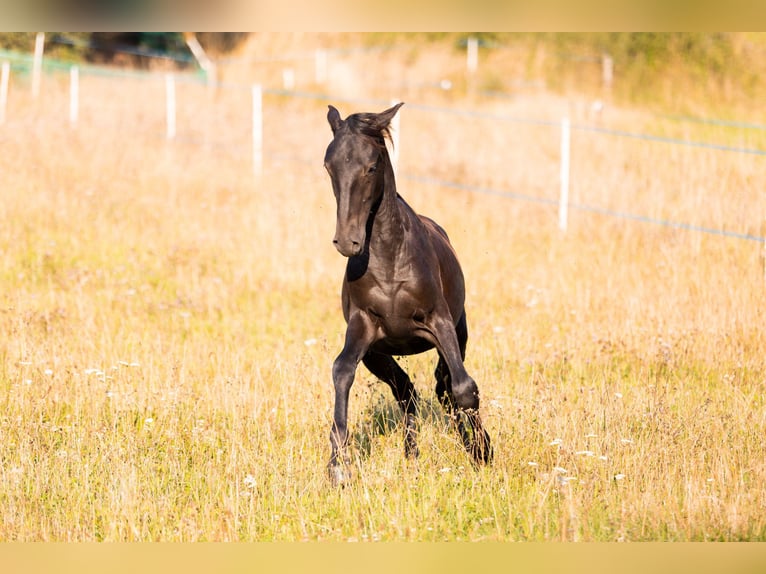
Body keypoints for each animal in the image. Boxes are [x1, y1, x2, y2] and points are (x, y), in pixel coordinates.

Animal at [323, 102, 492, 486]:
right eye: (329, 165)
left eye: (371, 167)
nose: (347, 241)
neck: (389, 260)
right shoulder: (363, 329)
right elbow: (341, 371)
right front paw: (338, 466)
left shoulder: (438, 321)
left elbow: (464, 388)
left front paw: (482, 452)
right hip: (379, 356)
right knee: (407, 393)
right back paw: (411, 456)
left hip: (458, 334)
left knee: (444, 386)